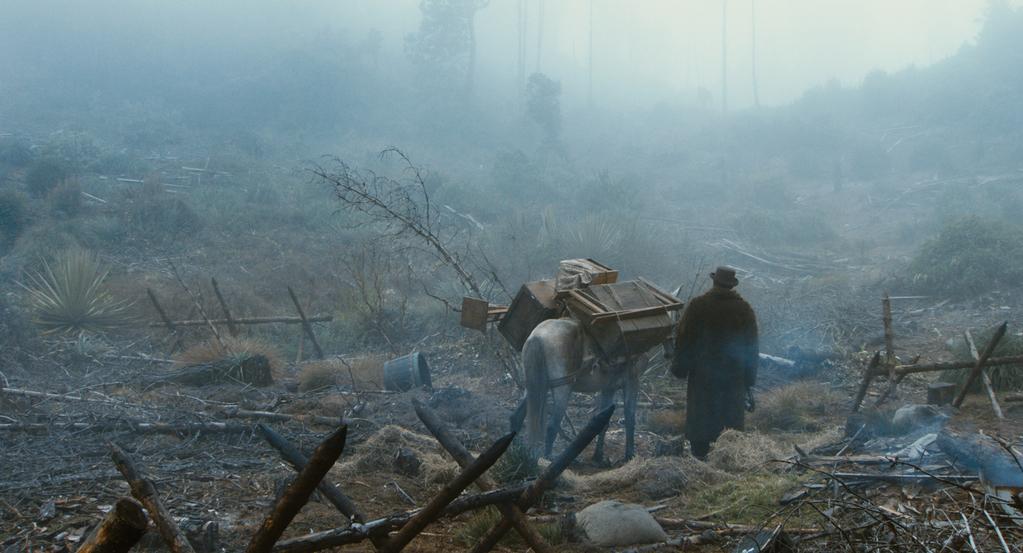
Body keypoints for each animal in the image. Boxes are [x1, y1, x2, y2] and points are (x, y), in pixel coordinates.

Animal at [515, 314, 642, 462]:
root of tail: (538, 336)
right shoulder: (632, 381)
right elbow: (630, 418)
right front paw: (630, 456)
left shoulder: (609, 388)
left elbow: (603, 422)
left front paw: (598, 457)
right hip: (562, 389)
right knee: (552, 426)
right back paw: (549, 458)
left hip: (535, 386)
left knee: (516, 417)